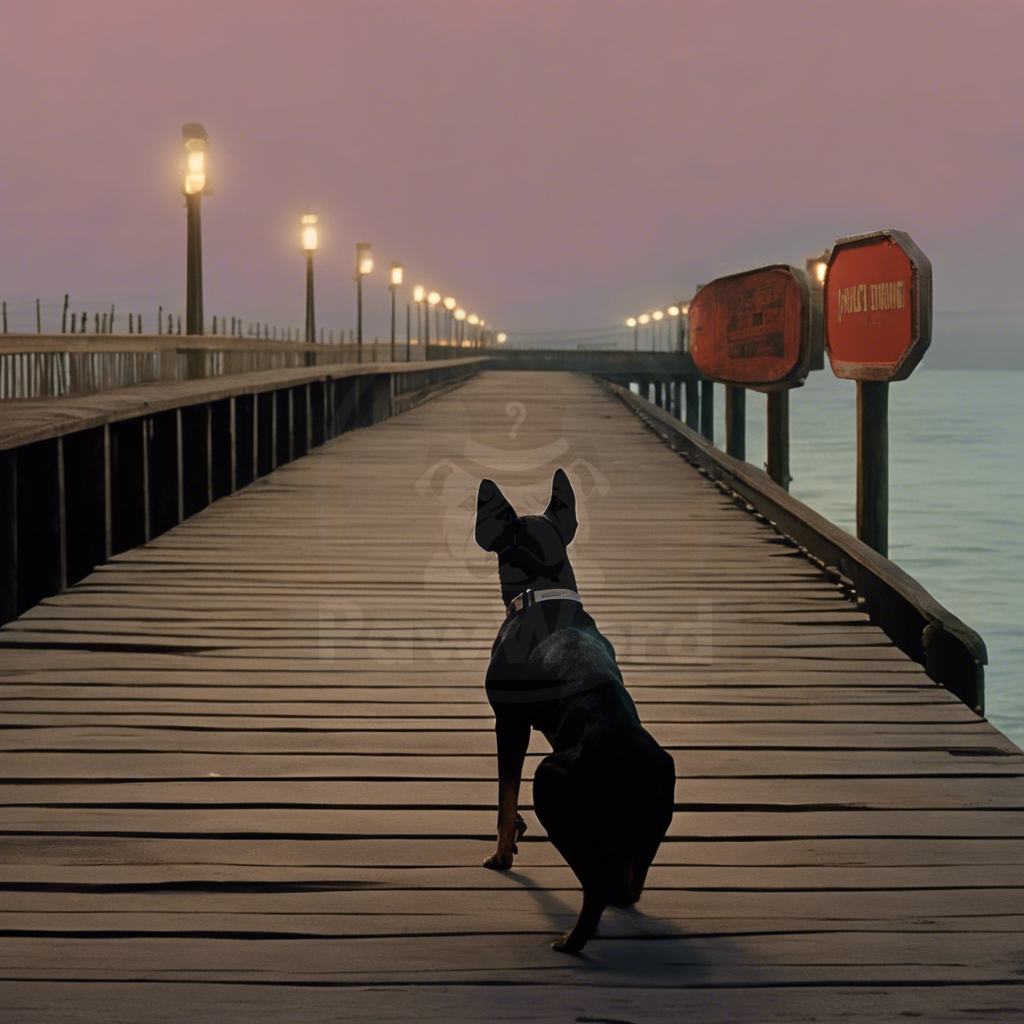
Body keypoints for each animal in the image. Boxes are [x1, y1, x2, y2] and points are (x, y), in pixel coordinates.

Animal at [475, 468, 675, 950]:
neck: (543, 594)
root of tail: (623, 758)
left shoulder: (509, 723)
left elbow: (505, 795)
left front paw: (502, 853)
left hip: (552, 787)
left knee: (595, 885)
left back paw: (571, 940)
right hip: (655, 814)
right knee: (630, 881)